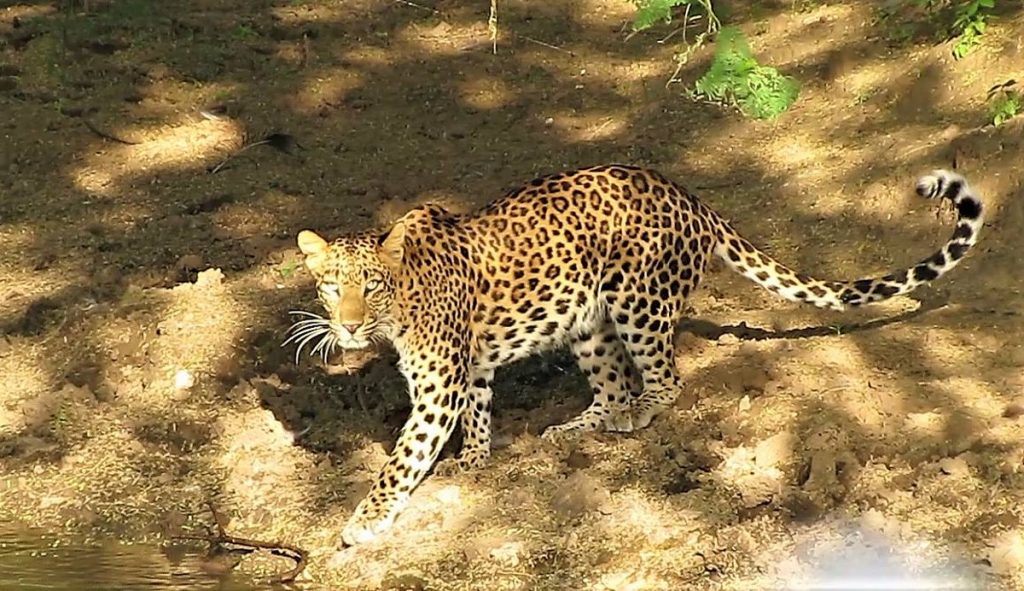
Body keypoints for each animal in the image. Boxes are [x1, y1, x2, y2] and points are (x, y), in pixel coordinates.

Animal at [290, 164, 983, 546]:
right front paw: (477, 460)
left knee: (664, 379)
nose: (348, 327)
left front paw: (365, 520)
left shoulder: (437, 387)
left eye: (371, 285)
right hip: (588, 321)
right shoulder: (472, 368)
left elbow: (402, 459)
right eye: (329, 286)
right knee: (614, 385)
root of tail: (686, 195)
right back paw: (576, 428)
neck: (405, 302)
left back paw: (638, 415)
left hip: (637, 300)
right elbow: (480, 410)